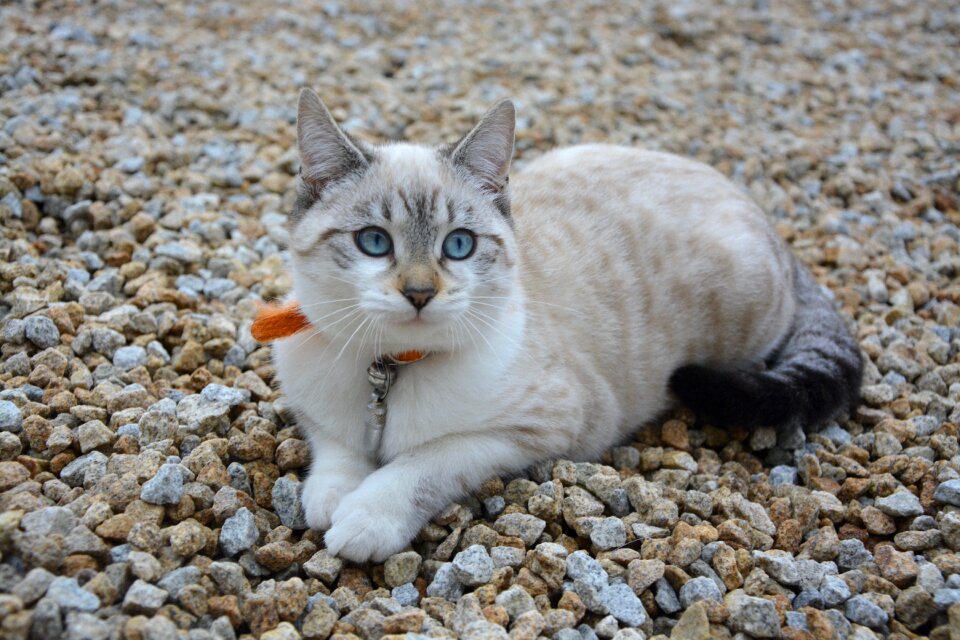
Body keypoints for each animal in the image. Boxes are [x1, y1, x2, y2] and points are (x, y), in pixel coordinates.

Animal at [270, 89, 864, 560]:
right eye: (374, 241)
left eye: (458, 246)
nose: (419, 293)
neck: (389, 370)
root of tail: (764, 216)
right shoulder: (314, 402)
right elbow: (335, 447)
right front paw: (328, 500)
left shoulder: (534, 428)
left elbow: (423, 464)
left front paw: (364, 518)